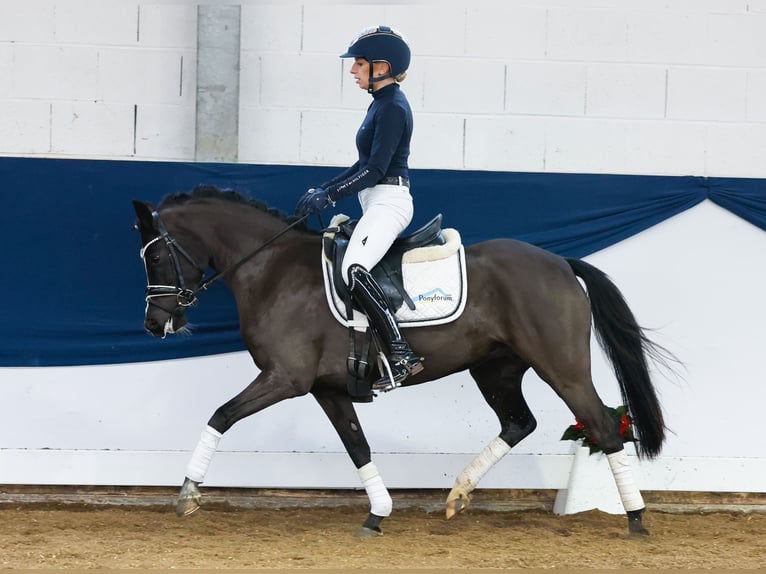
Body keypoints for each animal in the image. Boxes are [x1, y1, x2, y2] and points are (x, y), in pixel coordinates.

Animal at [134, 186, 672, 540]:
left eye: (156, 257)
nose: (155, 324)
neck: (273, 271)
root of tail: (561, 263)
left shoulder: (284, 378)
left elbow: (221, 415)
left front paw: (187, 493)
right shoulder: (328, 388)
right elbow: (357, 447)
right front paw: (379, 513)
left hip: (561, 366)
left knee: (602, 425)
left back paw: (636, 519)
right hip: (495, 368)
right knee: (520, 422)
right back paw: (457, 495)